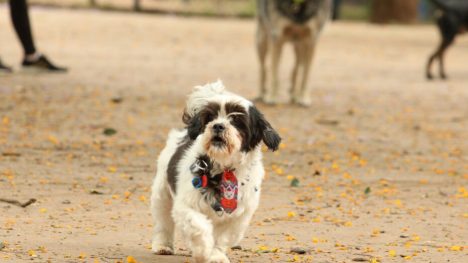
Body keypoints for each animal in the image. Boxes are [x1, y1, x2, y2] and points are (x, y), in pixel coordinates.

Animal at [152, 81, 280, 263]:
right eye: (210, 117)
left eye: (236, 120)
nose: (218, 125)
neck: (224, 167)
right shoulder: (186, 205)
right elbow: (199, 226)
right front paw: (202, 251)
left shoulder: (238, 215)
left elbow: (222, 237)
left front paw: (215, 255)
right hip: (162, 194)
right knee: (163, 222)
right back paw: (163, 245)